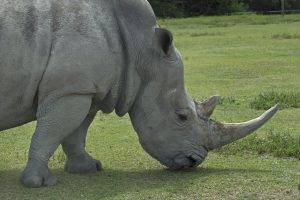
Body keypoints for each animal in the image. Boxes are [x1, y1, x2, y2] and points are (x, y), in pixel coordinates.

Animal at [0, 0, 278, 188]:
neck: (140, 49)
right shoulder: (70, 89)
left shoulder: (85, 88)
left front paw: (89, 168)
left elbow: (74, 133)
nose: (192, 162)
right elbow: (51, 133)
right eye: (182, 117)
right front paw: (39, 182)